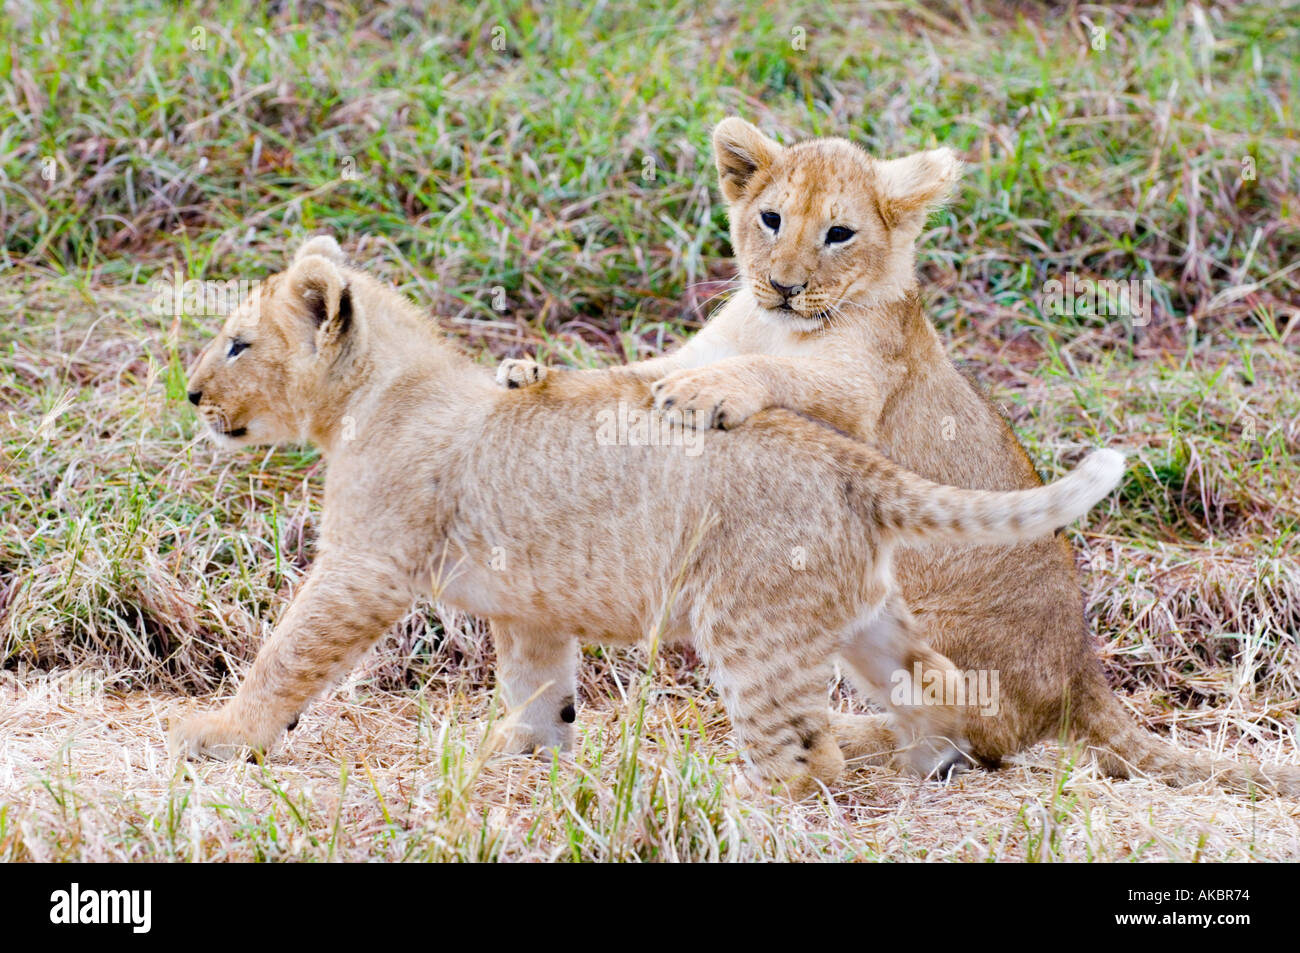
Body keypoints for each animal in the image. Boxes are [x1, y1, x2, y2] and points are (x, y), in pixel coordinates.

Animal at [169, 235, 1126, 795]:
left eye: (239, 343)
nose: (191, 394)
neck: (372, 396)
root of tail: (848, 458)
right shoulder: (529, 605)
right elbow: (541, 691)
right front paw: (523, 758)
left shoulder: (364, 567)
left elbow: (288, 653)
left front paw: (221, 735)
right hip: (864, 619)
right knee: (945, 691)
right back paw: (932, 761)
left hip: (750, 624)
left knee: (804, 755)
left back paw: (730, 798)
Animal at [497, 117, 1300, 796]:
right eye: (771, 218)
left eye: (839, 233)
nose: (783, 285)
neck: (777, 324)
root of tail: (1082, 677)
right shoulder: (701, 345)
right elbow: (624, 373)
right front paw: (527, 371)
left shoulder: (855, 391)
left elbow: (775, 374)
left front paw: (706, 393)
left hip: (925, 626)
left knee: (969, 734)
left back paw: (851, 737)